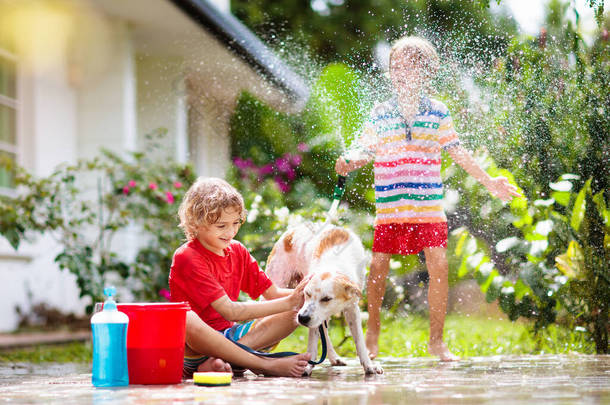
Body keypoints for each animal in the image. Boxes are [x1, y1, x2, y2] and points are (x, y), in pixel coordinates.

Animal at [264, 223, 380, 374]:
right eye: (306, 294)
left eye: (326, 298)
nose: (302, 318)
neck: (334, 262)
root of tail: (291, 232)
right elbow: (313, 342)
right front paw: (308, 366)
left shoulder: (352, 308)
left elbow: (359, 341)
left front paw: (369, 365)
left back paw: (334, 357)